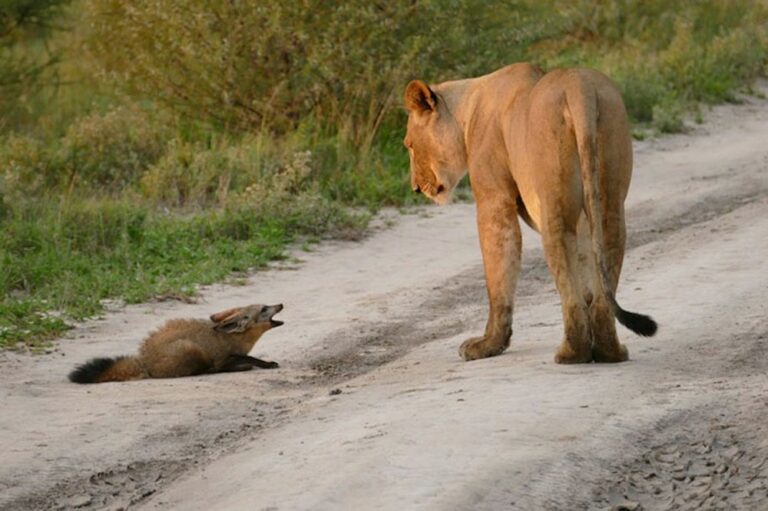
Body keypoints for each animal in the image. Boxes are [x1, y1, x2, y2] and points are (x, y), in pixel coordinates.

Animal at [68, 304, 284, 384]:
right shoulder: (223, 357)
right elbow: (249, 358)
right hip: (190, 349)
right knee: (204, 371)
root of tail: (143, 361)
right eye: (264, 308)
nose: (280, 304)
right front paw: (266, 364)